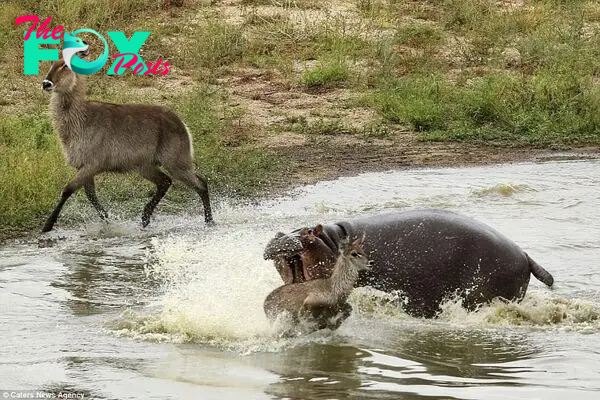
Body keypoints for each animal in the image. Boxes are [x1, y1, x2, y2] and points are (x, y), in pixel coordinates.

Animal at [40, 45, 213, 233]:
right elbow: (91, 196)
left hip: (175, 162)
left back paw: (209, 221)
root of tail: (181, 122)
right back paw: (145, 219)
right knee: (165, 182)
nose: (46, 83)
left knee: (201, 184)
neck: (81, 118)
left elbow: (67, 190)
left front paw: (47, 226)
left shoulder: (92, 165)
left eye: (65, 65)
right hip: (146, 166)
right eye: (51, 63)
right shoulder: (84, 166)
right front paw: (108, 221)